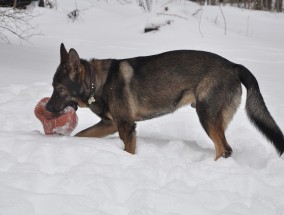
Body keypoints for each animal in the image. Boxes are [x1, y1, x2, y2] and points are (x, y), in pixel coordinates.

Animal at [46, 43, 284, 160]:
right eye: (52, 86)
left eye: (60, 88)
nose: (47, 108)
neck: (96, 82)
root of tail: (234, 65)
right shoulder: (110, 124)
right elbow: (81, 135)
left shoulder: (126, 126)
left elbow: (128, 151)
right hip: (214, 119)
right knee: (225, 149)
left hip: (207, 116)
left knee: (225, 149)